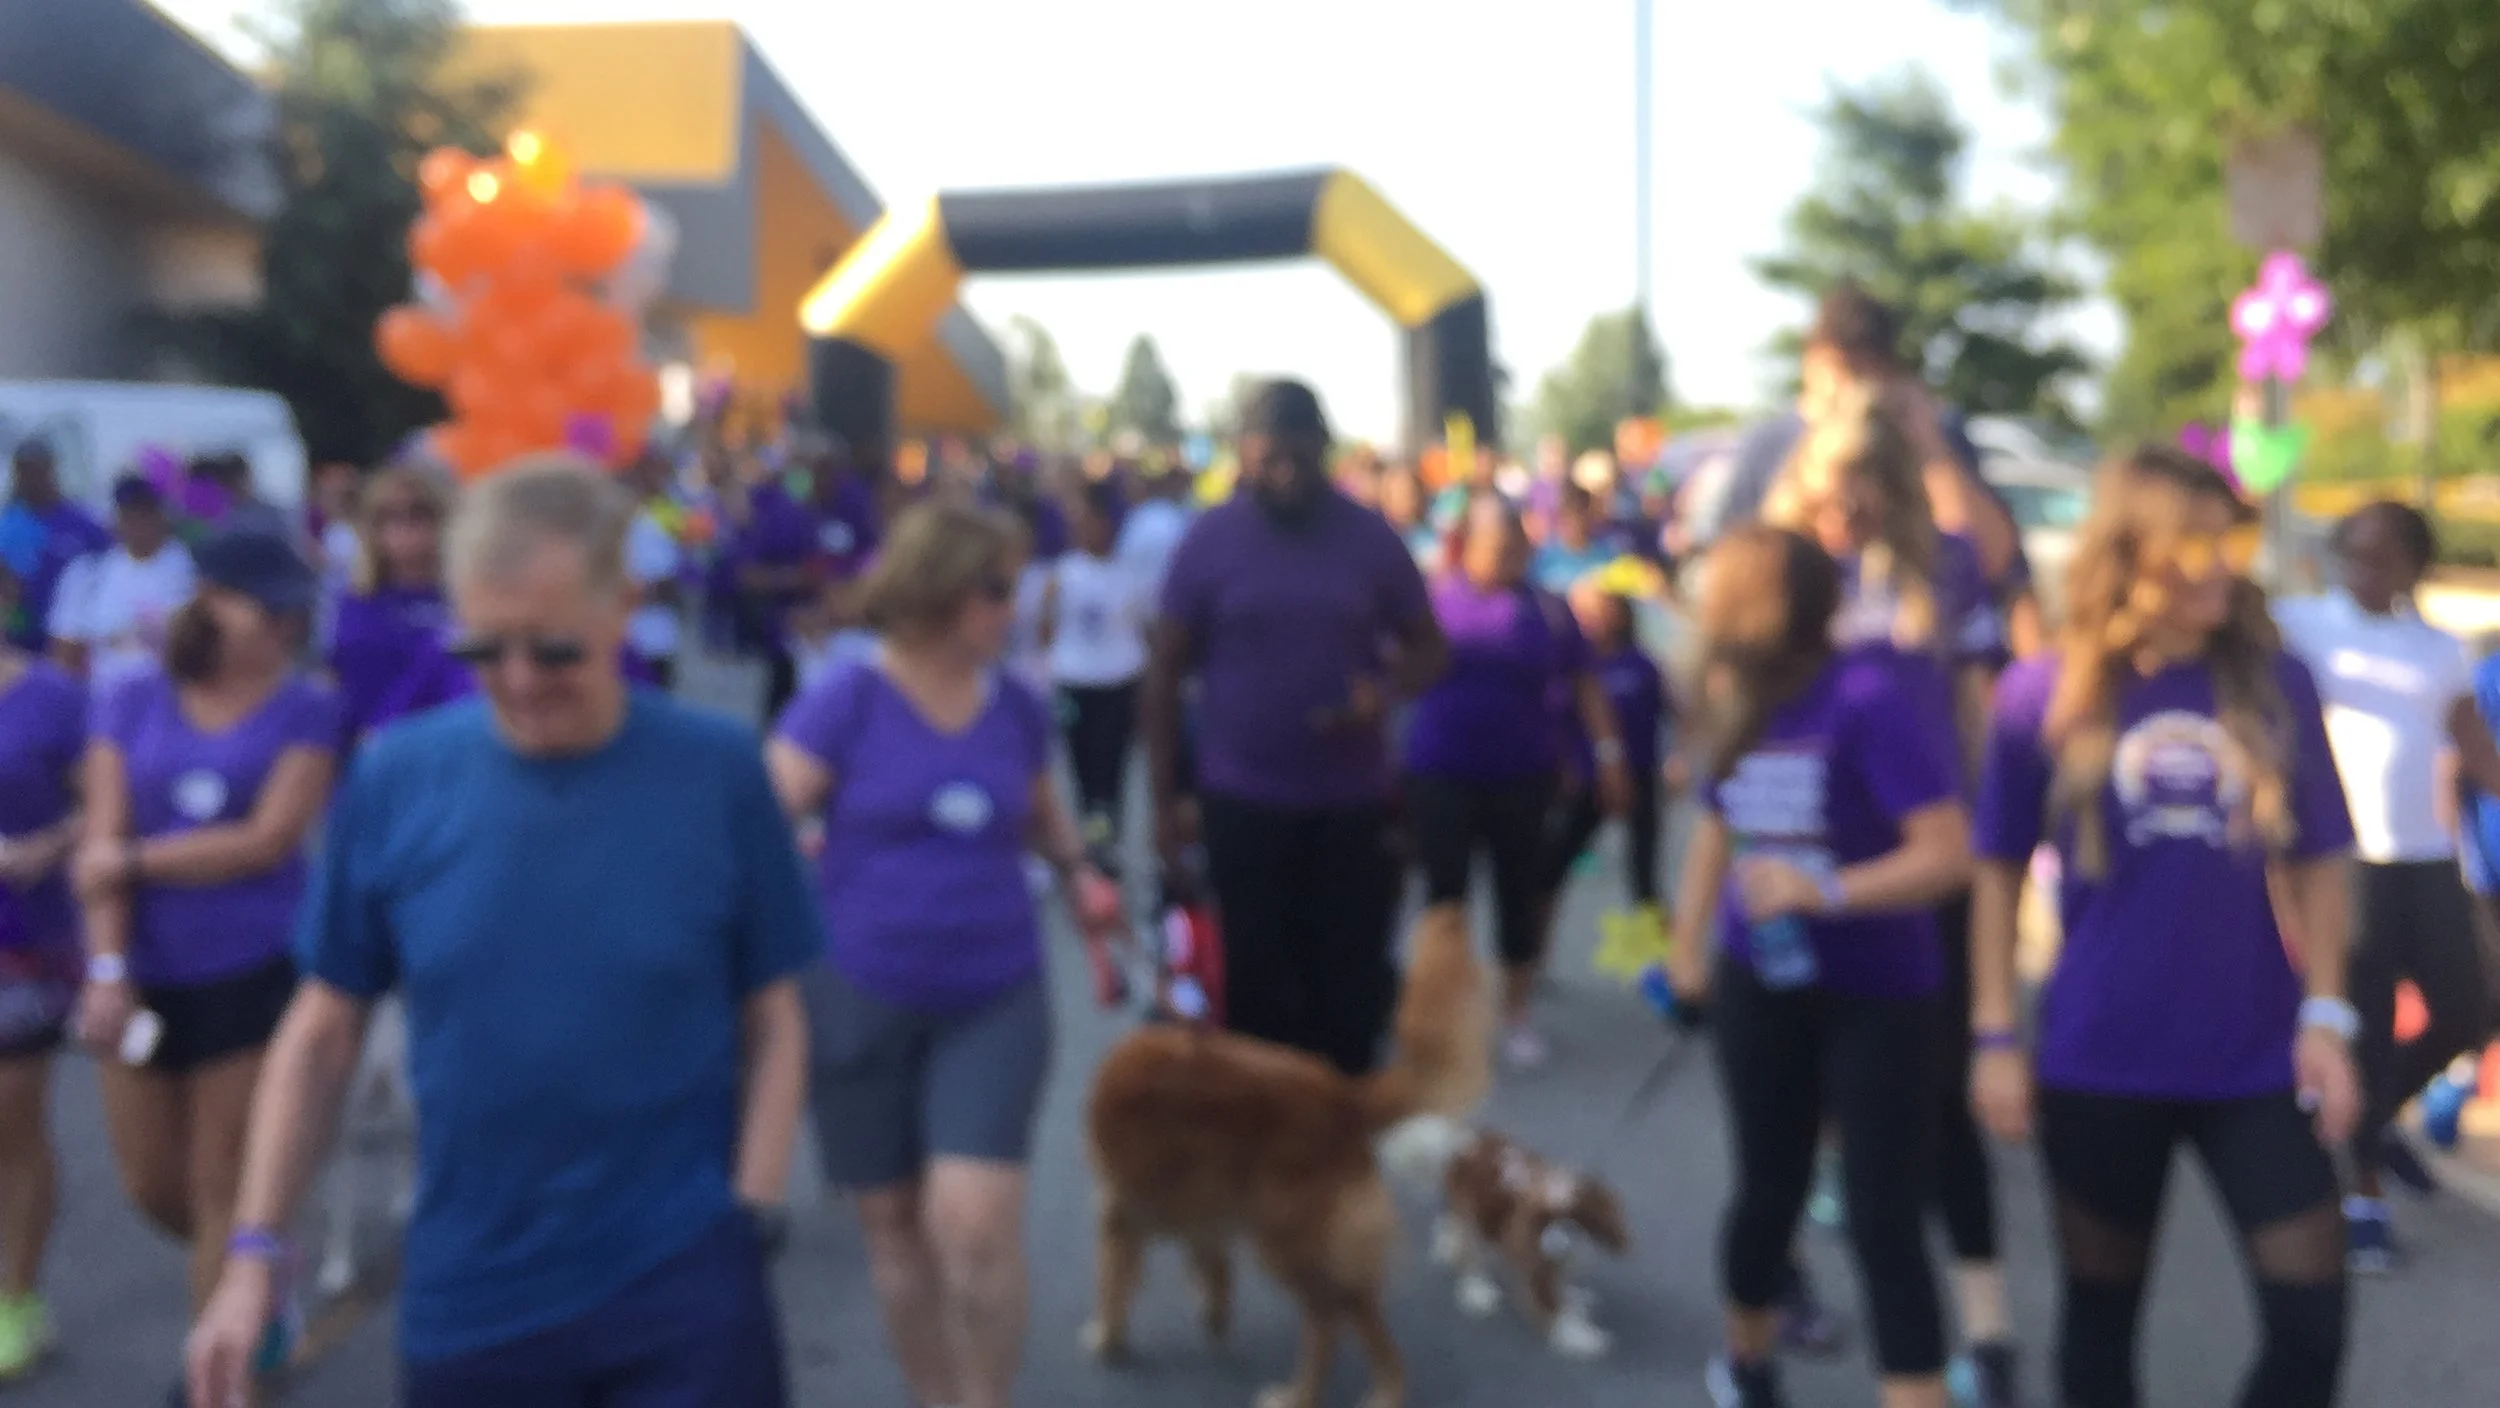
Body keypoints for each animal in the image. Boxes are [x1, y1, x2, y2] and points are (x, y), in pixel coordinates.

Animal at [1081, 902, 1492, 1408]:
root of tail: (1342, 1098)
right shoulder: (1202, 1208)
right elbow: (1213, 1269)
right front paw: (1212, 1313)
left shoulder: (1119, 1211)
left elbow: (1112, 1284)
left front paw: (1107, 1339)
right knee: (1363, 1315)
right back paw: (1387, 1391)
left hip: (1286, 1242)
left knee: (1326, 1322)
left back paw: (1299, 1394)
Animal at [1428, 1130, 1629, 1359]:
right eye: (1544, 1220)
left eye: (1575, 1219)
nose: (1555, 1244)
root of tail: (1465, 1141)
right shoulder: (1538, 1266)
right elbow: (1553, 1309)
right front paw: (1579, 1338)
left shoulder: (1561, 1261)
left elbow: (1562, 1284)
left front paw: (1571, 1299)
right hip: (1469, 1215)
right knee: (1468, 1253)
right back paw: (1476, 1291)